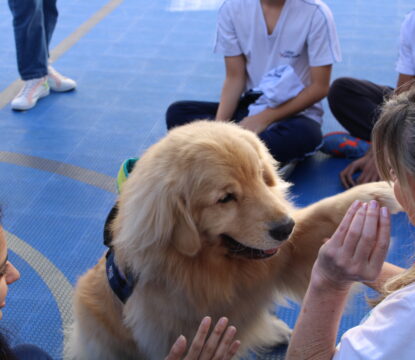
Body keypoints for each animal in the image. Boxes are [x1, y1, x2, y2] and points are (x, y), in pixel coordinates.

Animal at [66, 121, 404, 360]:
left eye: (260, 178)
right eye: (226, 198)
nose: (285, 227)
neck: (214, 268)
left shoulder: (285, 256)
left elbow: (321, 214)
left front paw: (374, 194)